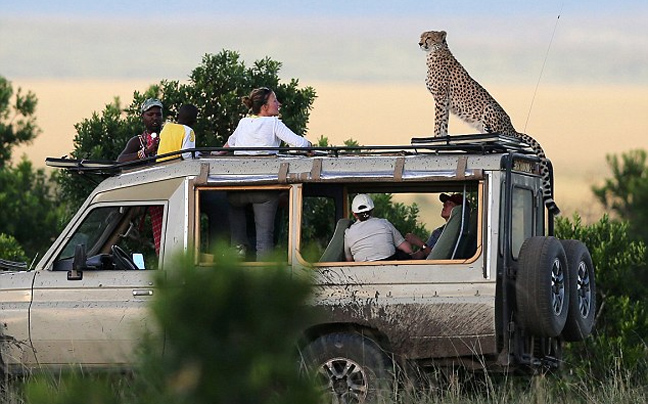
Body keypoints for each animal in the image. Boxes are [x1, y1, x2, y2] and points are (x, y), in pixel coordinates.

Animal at [418, 30, 560, 215]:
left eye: (428, 37)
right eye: (421, 37)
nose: (420, 43)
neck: (435, 52)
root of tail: (513, 129)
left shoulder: (441, 97)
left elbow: (439, 120)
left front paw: (436, 138)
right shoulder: (444, 101)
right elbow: (443, 122)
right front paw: (441, 137)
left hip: (489, 110)